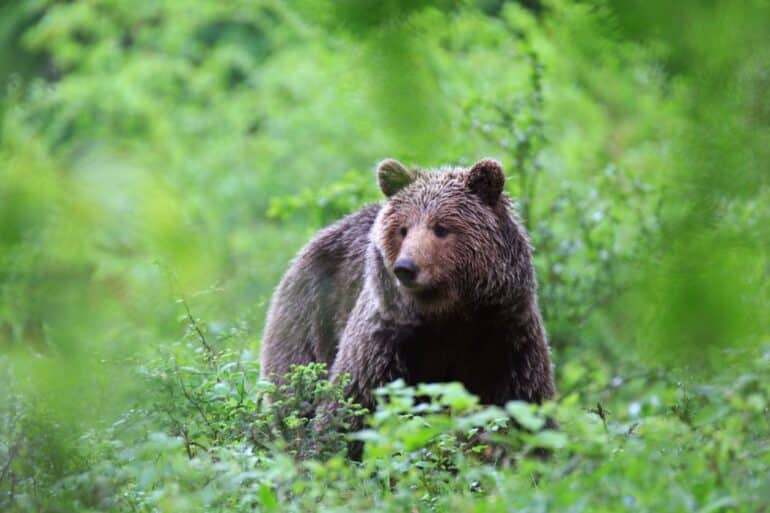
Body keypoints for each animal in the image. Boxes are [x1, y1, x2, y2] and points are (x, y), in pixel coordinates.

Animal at [260, 158, 556, 418]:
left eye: (441, 228)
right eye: (403, 229)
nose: (405, 267)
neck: (447, 314)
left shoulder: (507, 336)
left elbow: (522, 405)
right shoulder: (384, 340)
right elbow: (351, 406)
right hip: (310, 320)